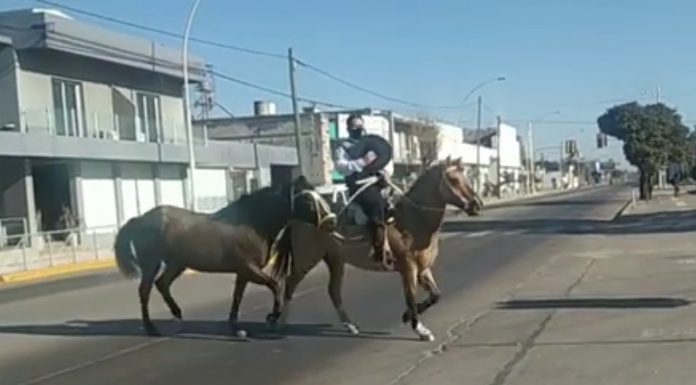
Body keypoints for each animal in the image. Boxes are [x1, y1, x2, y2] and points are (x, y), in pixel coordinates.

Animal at [274, 158, 484, 340]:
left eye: (466, 176)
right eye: (454, 180)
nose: (477, 204)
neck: (412, 220)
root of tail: (298, 214)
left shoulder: (423, 269)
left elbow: (435, 295)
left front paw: (407, 316)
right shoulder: (408, 269)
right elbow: (410, 297)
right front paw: (420, 329)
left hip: (335, 261)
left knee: (333, 291)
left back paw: (350, 325)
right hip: (307, 259)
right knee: (290, 284)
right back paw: (281, 323)